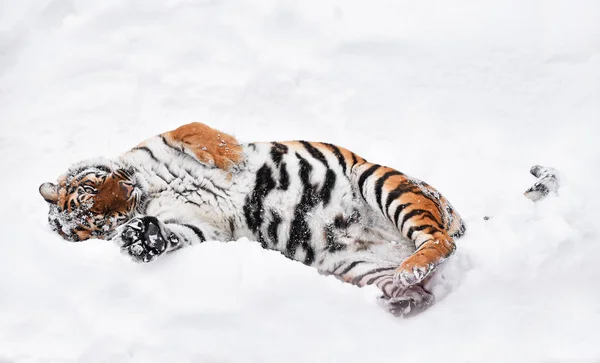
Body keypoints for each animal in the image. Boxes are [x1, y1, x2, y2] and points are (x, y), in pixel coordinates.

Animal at [39, 121, 466, 316]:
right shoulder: (196, 226)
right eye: (97, 225)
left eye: (91, 190)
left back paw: (412, 269)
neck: (147, 194)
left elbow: (193, 130)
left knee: (440, 239)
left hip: (380, 181)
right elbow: (174, 235)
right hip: (357, 266)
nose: (125, 198)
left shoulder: (163, 141)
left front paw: (229, 157)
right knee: (425, 276)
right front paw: (141, 239)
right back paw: (405, 296)